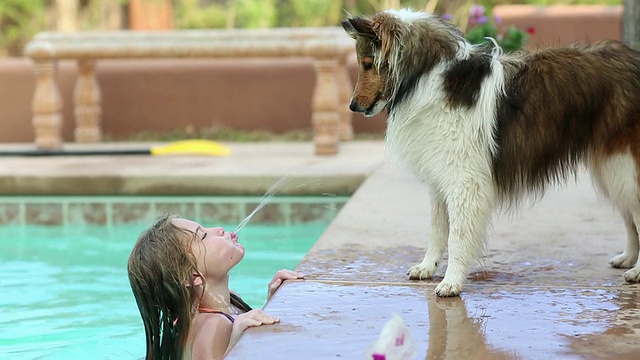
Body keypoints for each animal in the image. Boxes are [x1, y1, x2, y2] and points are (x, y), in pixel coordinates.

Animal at [344, 8, 640, 296]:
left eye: (368, 63)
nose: (352, 107)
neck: (428, 76)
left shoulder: (464, 181)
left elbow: (457, 235)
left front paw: (451, 282)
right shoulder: (439, 179)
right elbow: (437, 230)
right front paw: (427, 267)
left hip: (623, 167)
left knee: (634, 213)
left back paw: (636, 271)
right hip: (612, 170)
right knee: (630, 217)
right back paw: (627, 258)